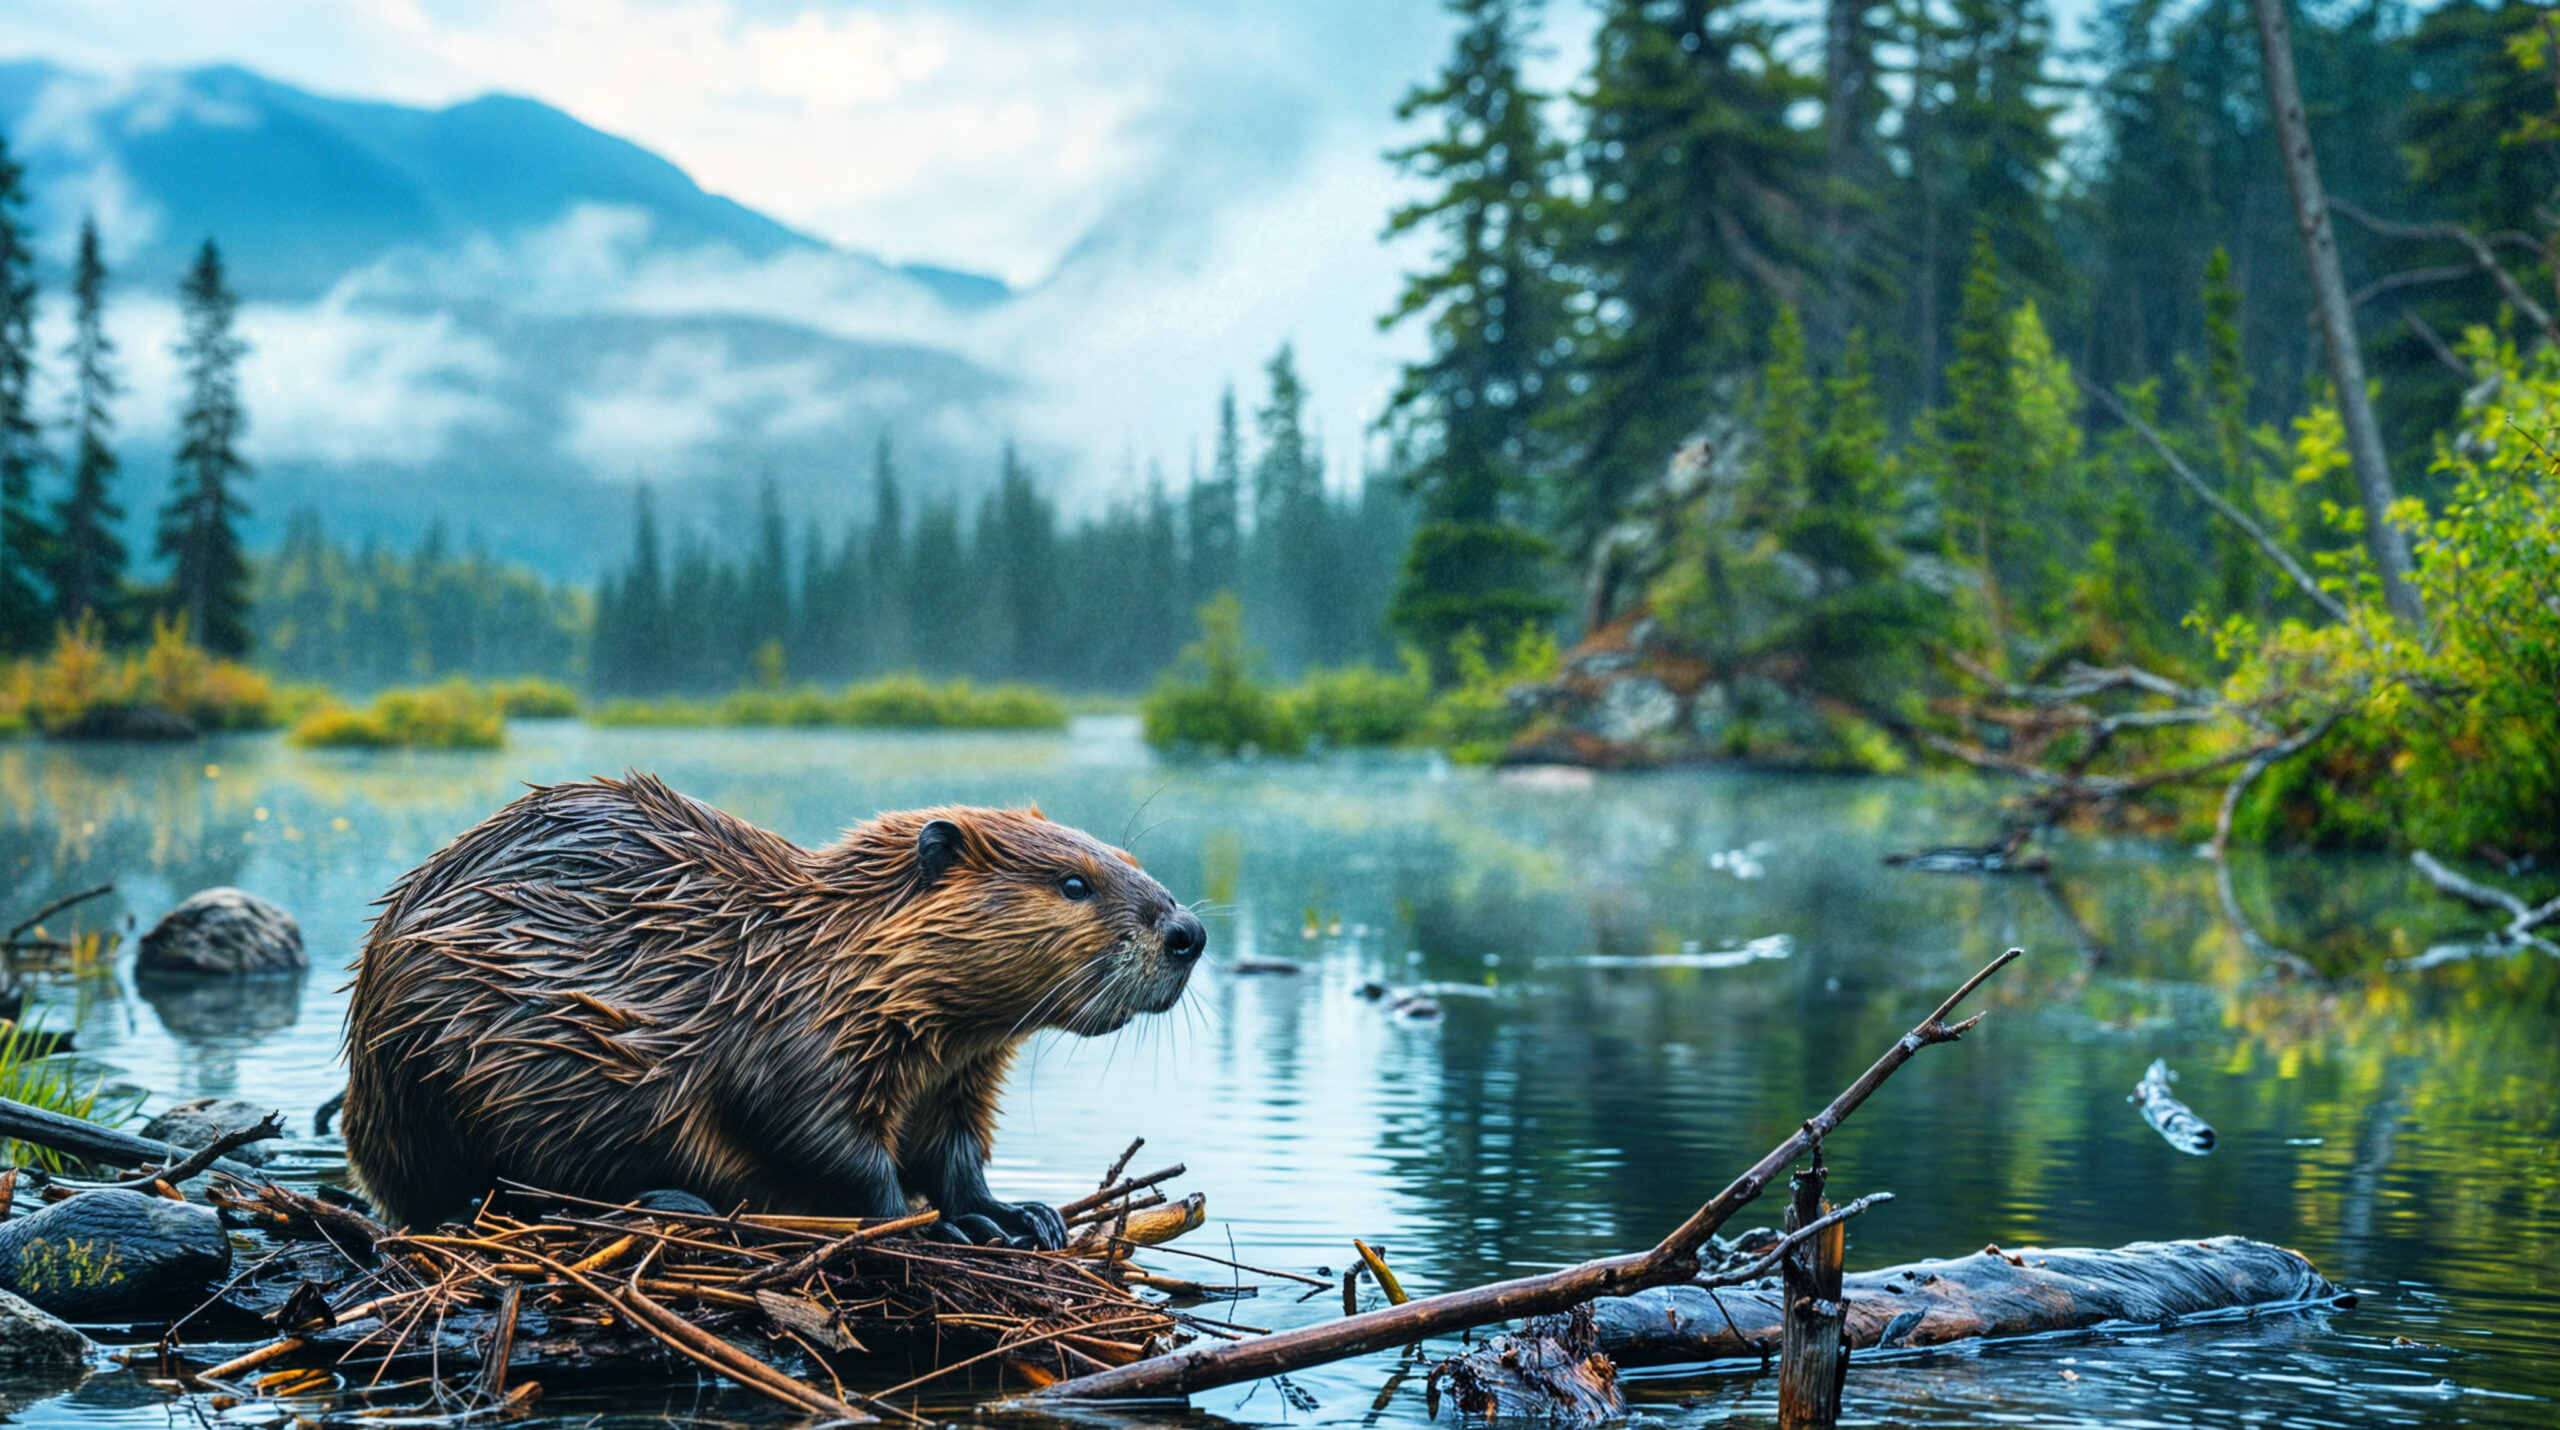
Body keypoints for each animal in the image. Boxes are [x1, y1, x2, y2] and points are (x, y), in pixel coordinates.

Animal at [340, 772, 1208, 1243]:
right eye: (1073, 884)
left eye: (1127, 858)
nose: (1188, 933)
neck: (816, 951)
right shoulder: (796, 1033)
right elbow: (814, 1135)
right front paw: (942, 1224)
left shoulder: (958, 1073)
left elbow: (955, 1151)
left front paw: (1016, 1215)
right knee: (493, 1195)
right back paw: (667, 1201)